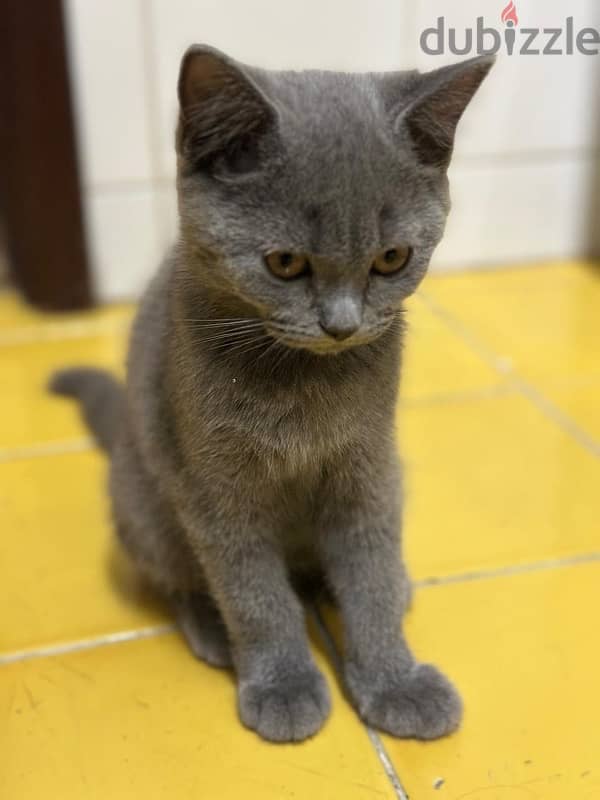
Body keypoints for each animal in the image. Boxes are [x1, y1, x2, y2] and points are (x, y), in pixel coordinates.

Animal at [50, 45, 492, 744]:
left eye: (392, 259)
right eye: (285, 263)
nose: (341, 324)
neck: (303, 387)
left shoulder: (367, 472)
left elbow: (368, 574)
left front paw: (395, 680)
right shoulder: (215, 491)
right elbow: (253, 594)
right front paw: (283, 686)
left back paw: (393, 588)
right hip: (141, 504)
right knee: (181, 578)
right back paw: (211, 629)